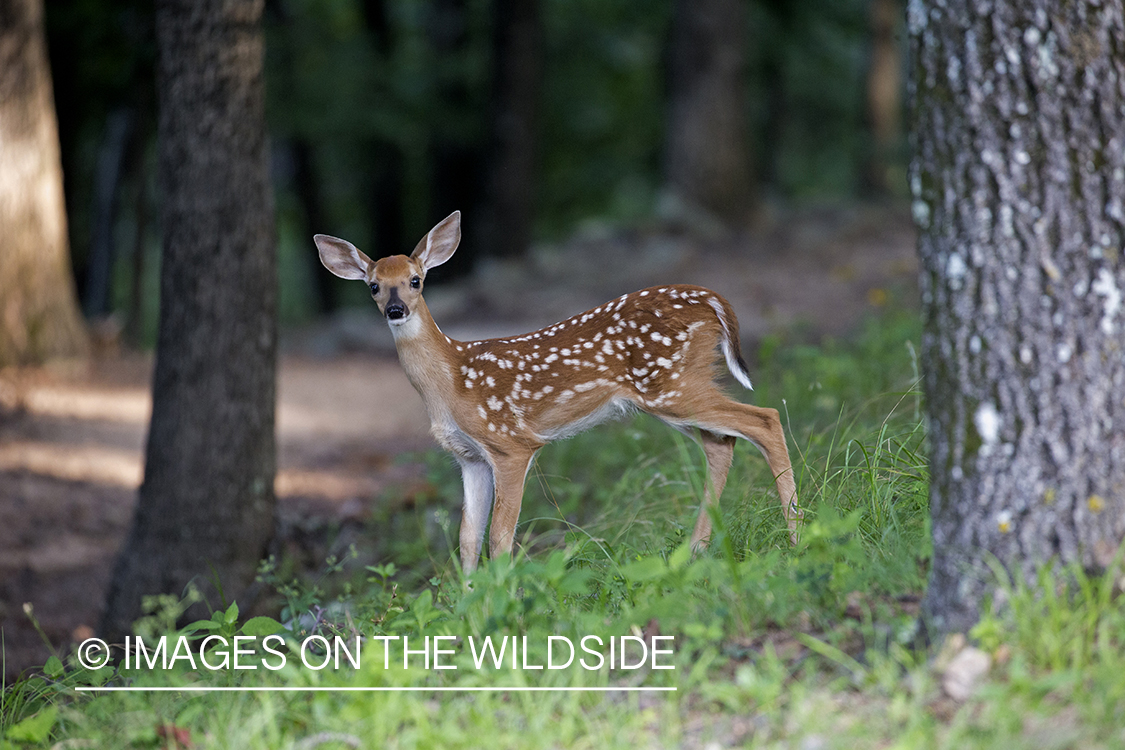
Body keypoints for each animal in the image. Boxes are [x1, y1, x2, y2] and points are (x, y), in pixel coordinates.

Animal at [314, 211, 801, 574]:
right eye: (373, 286)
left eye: (416, 279)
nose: (396, 309)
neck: (451, 381)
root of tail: (712, 299)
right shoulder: (468, 456)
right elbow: (467, 538)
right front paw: (467, 609)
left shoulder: (511, 443)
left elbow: (500, 536)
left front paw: (501, 601)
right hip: (676, 392)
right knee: (722, 443)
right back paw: (696, 553)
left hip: (671, 386)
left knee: (765, 418)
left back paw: (797, 536)